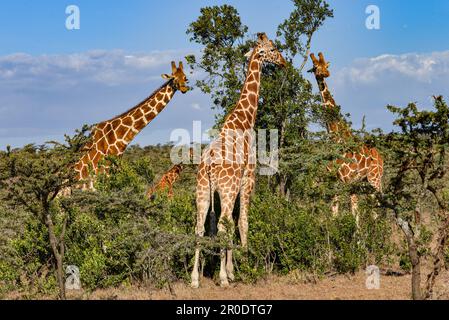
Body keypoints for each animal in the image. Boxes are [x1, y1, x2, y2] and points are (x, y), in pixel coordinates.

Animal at [191, 32, 286, 288]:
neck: (245, 120)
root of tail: (210, 163)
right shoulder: (248, 180)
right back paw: (223, 278)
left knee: (200, 228)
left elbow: (229, 225)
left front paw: (232, 268)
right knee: (223, 225)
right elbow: (242, 222)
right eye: (273, 49)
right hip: (227, 188)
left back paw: (194, 279)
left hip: (203, 190)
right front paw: (243, 265)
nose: (284, 62)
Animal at [308, 52, 382, 225]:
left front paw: (357, 233)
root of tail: (381, 157)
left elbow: (354, 213)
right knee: (373, 206)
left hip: (375, 179)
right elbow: (334, 210)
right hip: (367, 181)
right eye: (315, 66)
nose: (325, 73)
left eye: (326, 65)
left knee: (378, 204)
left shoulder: (349, 181)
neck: (335, 138)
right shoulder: (334, 181)